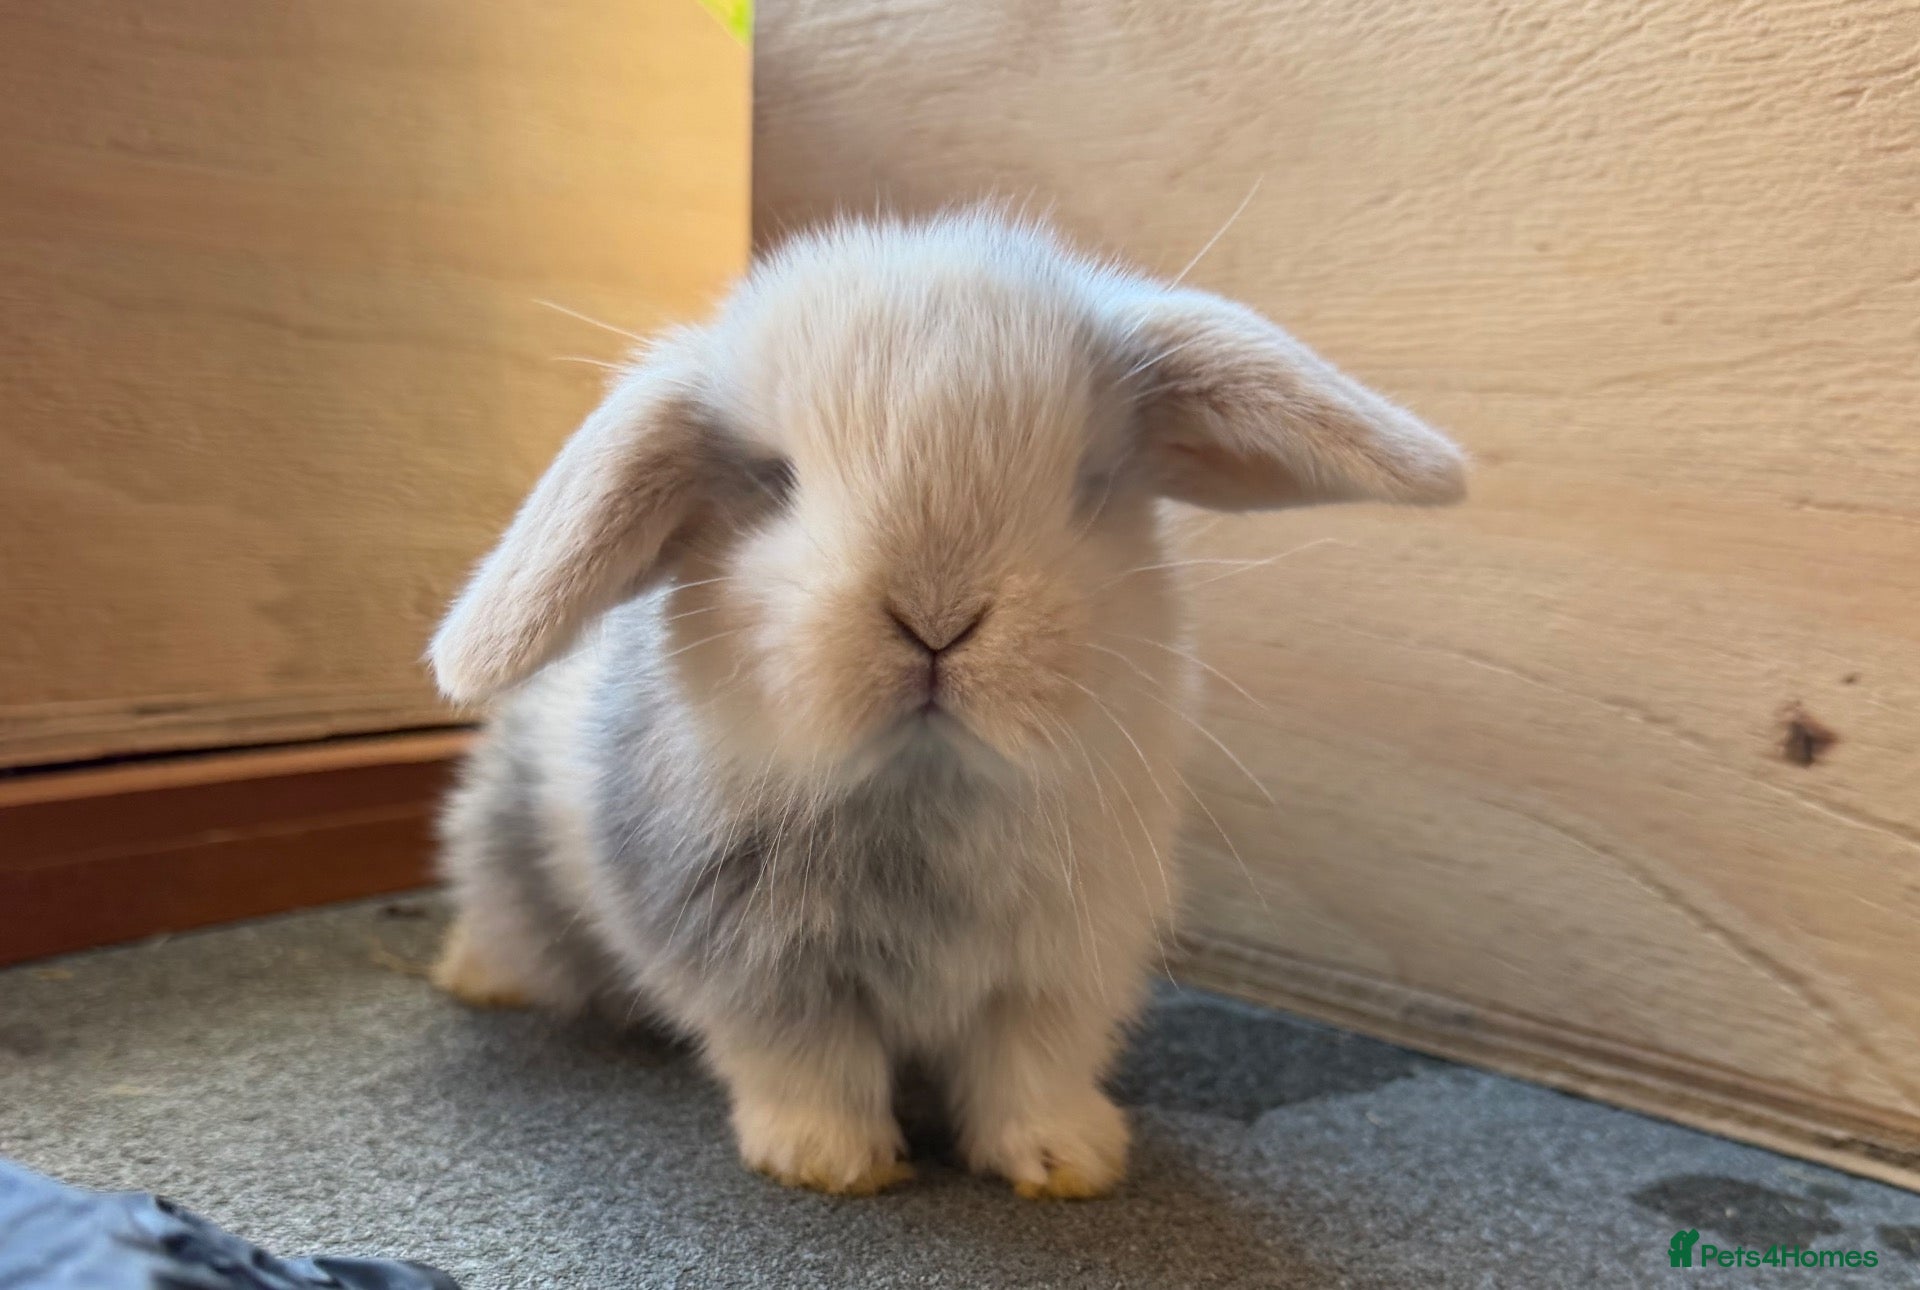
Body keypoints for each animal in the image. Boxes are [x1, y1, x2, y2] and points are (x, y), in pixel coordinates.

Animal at [425, 210, 1466, 1199]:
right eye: (774, 482)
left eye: (1089, 483)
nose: (935, 619)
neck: (926, 788)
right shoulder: (757, 964)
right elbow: (810, 1065)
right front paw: (830, 1163)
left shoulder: (1061, 966)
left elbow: (1031, 1067)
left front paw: (1067, 1161)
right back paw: (473, 979)